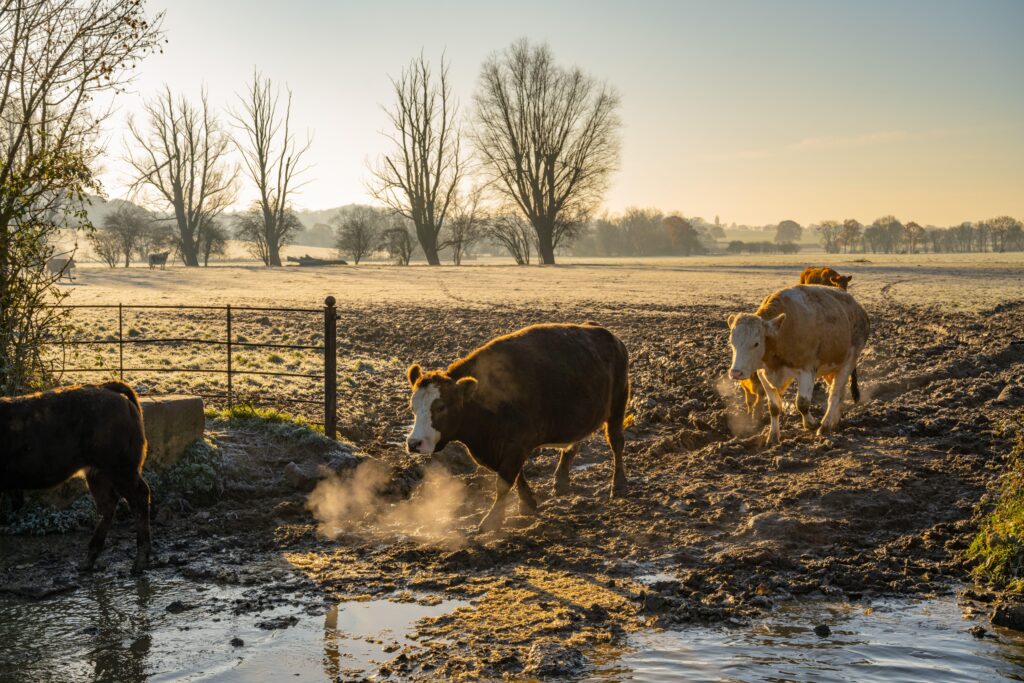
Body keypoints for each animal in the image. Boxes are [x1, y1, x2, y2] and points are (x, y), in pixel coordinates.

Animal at [0, 382, 150, 569]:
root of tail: (105, 388)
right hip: (98, 474)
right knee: (109, 504)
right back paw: (89, 559)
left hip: (121, 470)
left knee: (139, 498)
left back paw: (140, 559)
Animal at [401, 323, 626, 532]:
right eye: (413, 406)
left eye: (441, 407)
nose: (414, 443)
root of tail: (609, 336)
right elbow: (517, 476)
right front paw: (527, 503)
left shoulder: (517, 445)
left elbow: (504, 482)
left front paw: (491, 520)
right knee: (573, 445)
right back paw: (561, 482)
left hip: (617, 407)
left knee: (617, 443)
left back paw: (618, 485)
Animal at [724, 286, 868, 446]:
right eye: (732, 342)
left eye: (756, 343)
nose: (736, 372)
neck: (781, 334)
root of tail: (858, 308)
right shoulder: (763, 373)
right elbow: (774, 407)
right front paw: (773, 436)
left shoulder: (807, 370)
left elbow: (802, 403)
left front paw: (811, 424)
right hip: (831, 367)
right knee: (839, 392)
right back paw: (834, 422)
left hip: (850, 359)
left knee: (835, 394)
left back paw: (825, 426)